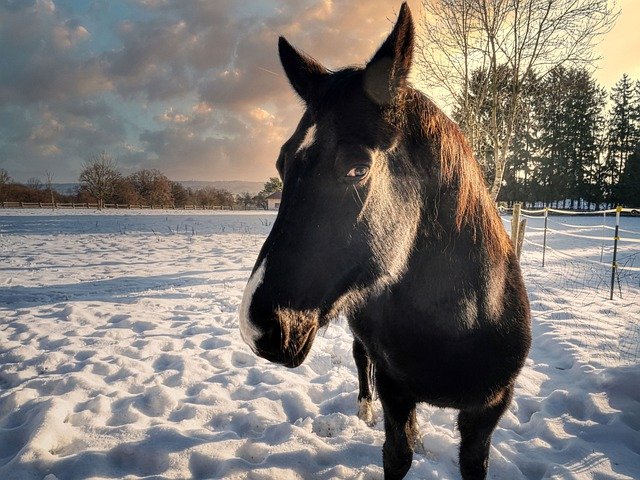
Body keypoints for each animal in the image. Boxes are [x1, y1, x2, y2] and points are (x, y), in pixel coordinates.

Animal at [238, 2, 532, 476]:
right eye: (282, 163)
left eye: (357, 168)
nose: (257, 326)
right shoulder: (396, 391)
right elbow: (397, 452)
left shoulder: (486, 414)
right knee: (361, 357)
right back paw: (364, 408)